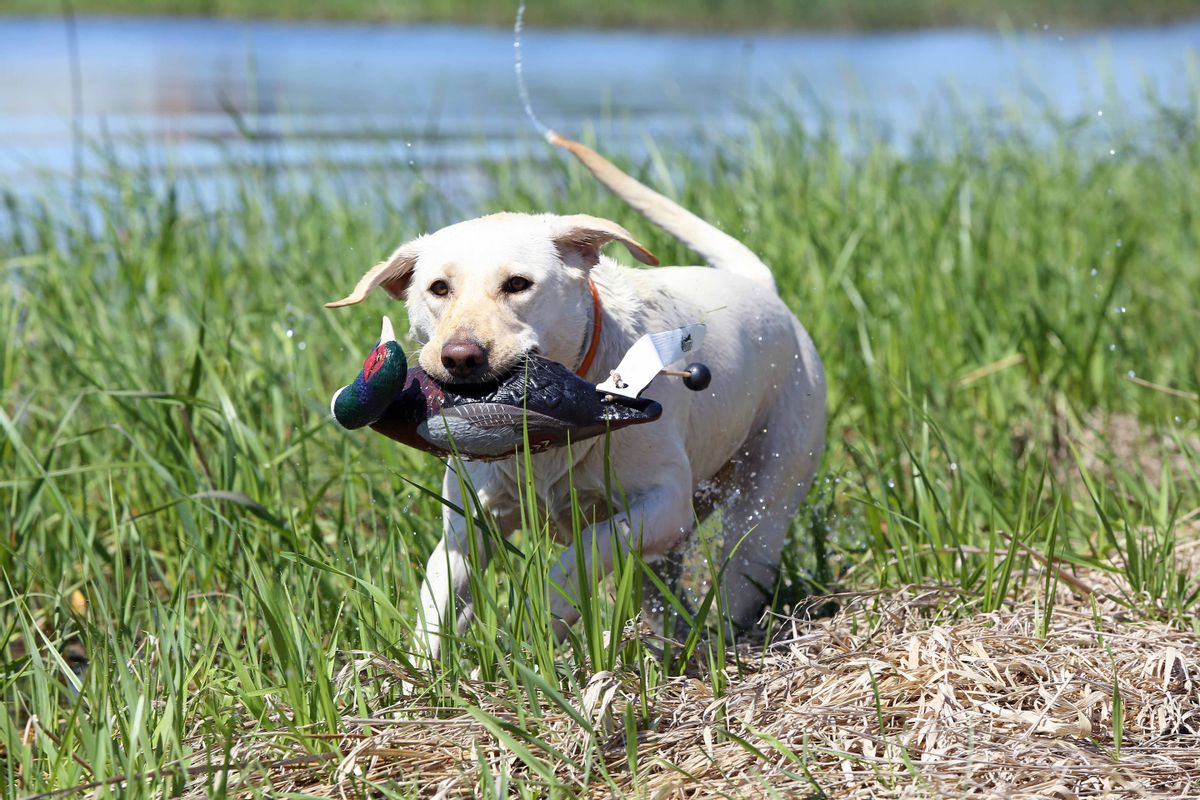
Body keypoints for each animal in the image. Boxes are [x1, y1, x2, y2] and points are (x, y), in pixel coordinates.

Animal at [328, 134, 825, 662]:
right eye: (438, 288)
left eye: (518, 284)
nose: (460, 357)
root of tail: (762, 287)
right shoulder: (467, 527)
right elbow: (437, 604)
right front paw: (419, 674)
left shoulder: (666, 504)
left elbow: (583, 554)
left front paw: (549, 613)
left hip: (768, 496)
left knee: (746, 558)